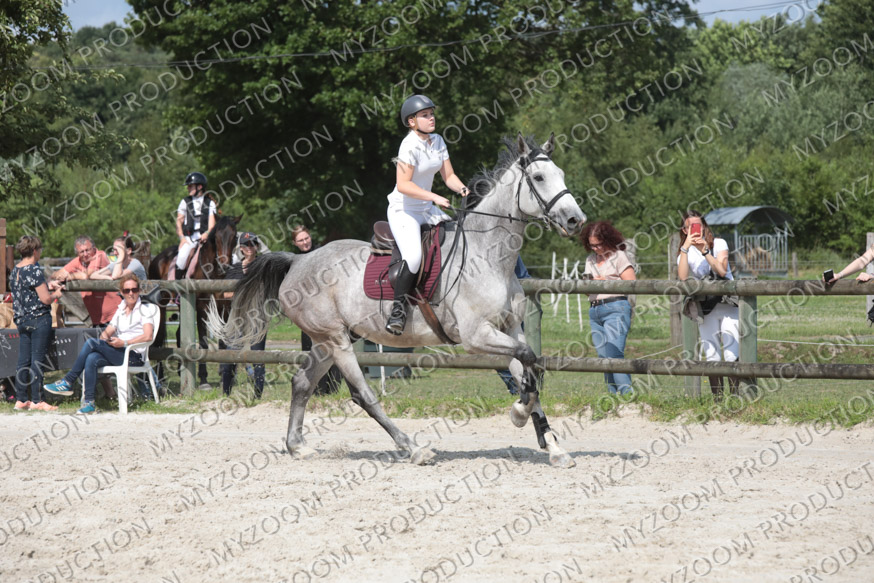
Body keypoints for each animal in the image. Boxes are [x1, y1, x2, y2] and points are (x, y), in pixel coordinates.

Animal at [149, 214, 241, 389]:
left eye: (234, 237)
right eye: (217, 238)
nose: (225, 265)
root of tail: (157, 258)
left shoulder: (223, 308)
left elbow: (223, 341)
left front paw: (225, 375)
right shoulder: (202, 308)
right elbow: (203, 343)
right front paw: (204, 379)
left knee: (179, 334)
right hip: (161, 306)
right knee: (158, 338)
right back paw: (161, 378)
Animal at [207, 134, 585, 466]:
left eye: (562, 174)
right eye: (539, 177)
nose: (575, 220)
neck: (490, 256)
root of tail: (298, 260)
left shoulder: (509, 329)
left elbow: (529, 368)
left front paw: (553, 447)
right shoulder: (477, 336)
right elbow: (528, 363)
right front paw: (519, 414)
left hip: (326, 341)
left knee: (302, 383)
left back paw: (298, 447)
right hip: (336, 339)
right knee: (363, 395)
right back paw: (413, 449)